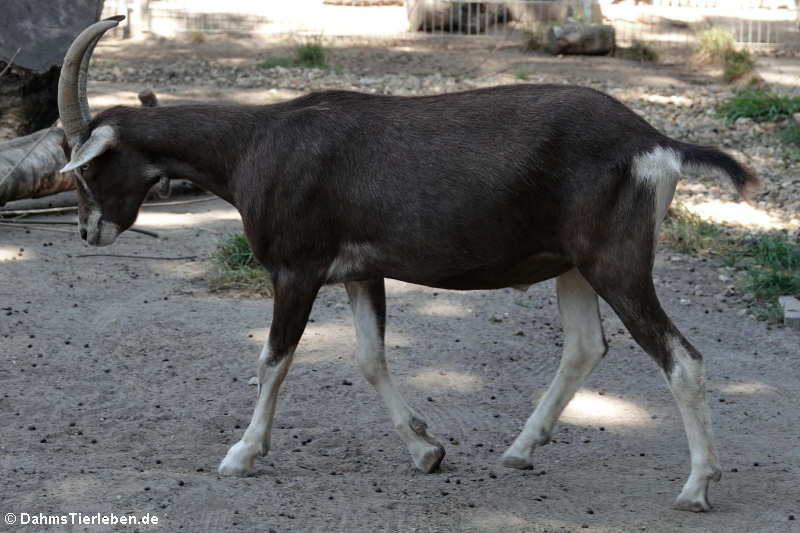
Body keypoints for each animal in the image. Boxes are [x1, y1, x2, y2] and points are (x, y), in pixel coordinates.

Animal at [61, 15, 756, 512]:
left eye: (87, 166)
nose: (89, 231)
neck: (251, 146)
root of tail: (655, 142)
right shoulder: (360, 272)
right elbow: (370, 359)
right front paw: (427, 451)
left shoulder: (296, 268)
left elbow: (272, 360)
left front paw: (241, 454)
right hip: (574, 266)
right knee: (586, 346)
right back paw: (520, 451)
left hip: (617, 263)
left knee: (682, 358)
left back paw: (697, 487)